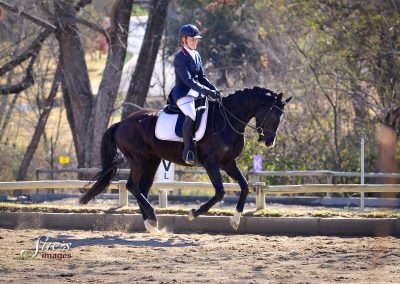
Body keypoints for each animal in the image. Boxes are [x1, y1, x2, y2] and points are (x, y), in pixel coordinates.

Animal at [79, 86, 290, 233]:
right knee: (132, 186)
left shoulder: (229, 163)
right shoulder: (211, 163)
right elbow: (220, 193)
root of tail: (121, 123)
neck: (227, 119)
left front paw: (235, 220)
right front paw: (193, 213)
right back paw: (153, 219)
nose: (269, 141)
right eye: (273, 115)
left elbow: (245, 186)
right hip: (139, 159)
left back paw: (151, 225)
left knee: (141, 189)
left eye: (281, 117)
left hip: (151, 161)